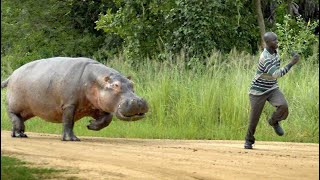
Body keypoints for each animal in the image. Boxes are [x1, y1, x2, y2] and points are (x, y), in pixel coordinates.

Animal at [0, 57, 149, 141]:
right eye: (116, 85)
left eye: (132, 84)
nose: (138, 101)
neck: (95, 80)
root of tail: (11, 75)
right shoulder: (69, 105)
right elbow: (68, 122)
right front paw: (72, 139)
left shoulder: (97, 106)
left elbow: (107, 119)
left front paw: (91, 125)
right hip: (16, 105)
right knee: (14, 116)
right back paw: (20, 135)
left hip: (28, 111)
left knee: (18, 121)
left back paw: (17, 134)